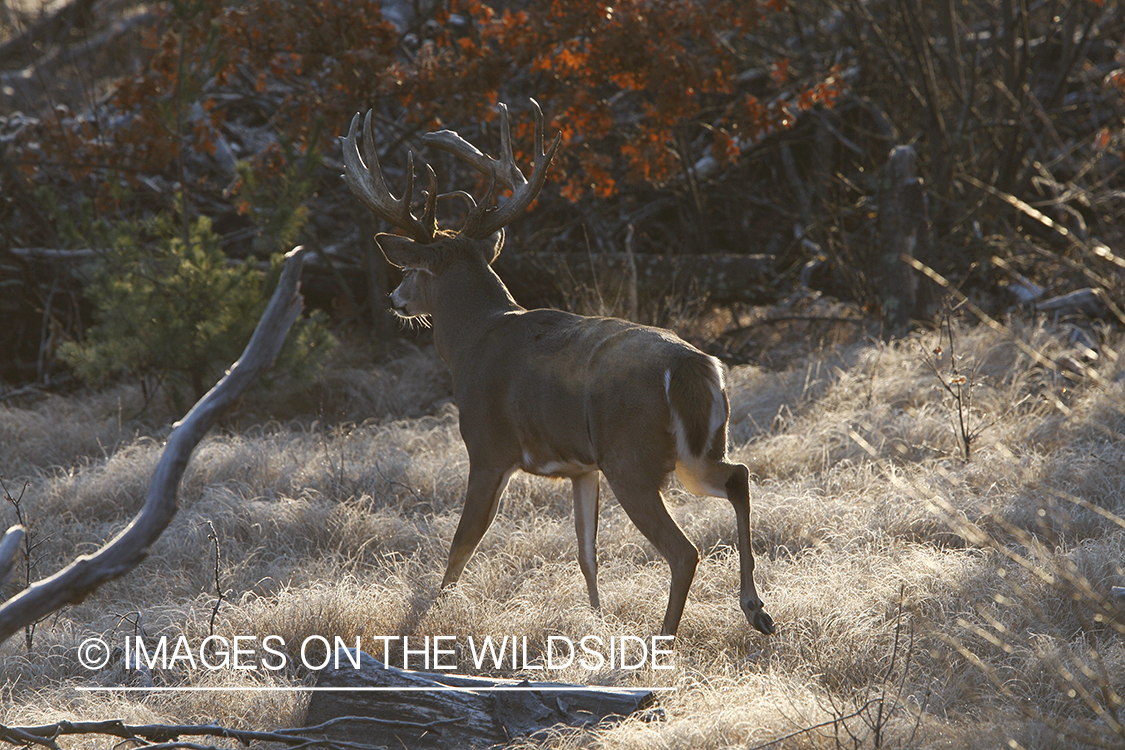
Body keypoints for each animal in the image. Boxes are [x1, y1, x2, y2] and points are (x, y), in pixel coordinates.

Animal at [339, 101, 774, 638]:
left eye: (412, 270)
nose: (395, 299)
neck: (470, 340)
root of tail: (694, 367)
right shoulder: (581, 468)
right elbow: (587, 552)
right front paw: (596, 619)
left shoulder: (488, 447)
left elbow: (461, 546)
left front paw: (434, 615)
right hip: (696, 451)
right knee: (738, 476)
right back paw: (756, 609)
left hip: (632, 458)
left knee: (684, 551)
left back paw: (666, 640)